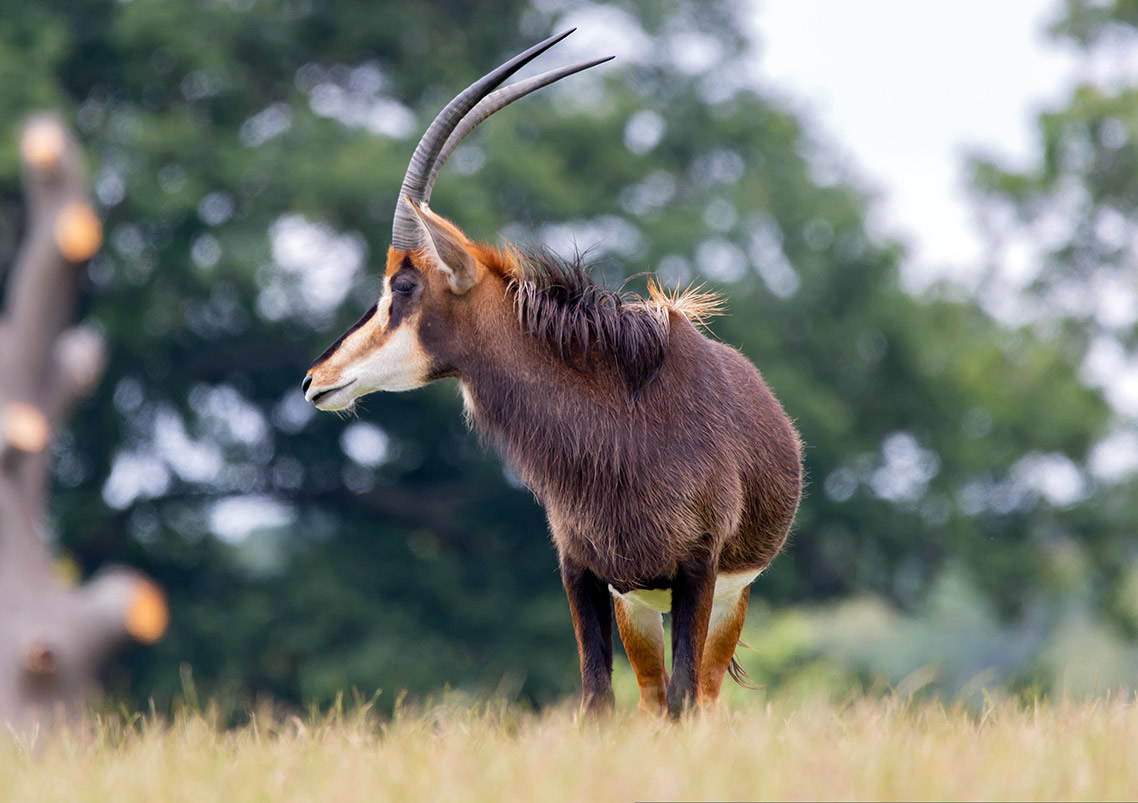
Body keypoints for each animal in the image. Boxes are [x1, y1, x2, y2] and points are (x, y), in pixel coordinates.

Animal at [298, 31, 805, 714]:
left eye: (403, 286)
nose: (314, 379)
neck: (626, 422)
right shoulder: (583, 572)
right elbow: (596, 700)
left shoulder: (697, 573)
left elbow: (682, 699)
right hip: (637, 605)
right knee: (651, 696)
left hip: (728, 596)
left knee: (697, 696)